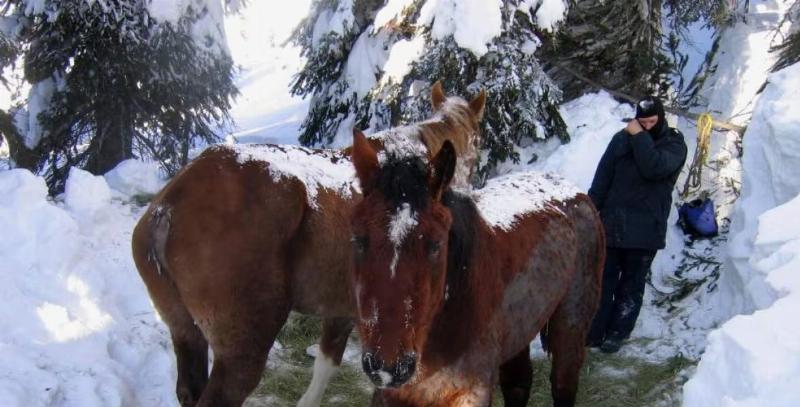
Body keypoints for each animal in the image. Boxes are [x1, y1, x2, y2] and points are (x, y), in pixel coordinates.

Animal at [130, 82, 486, 407]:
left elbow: (326, 363)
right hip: (240, 352)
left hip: (184, 330)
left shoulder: (345, 312)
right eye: (478, 141)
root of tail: (170, 204)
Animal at [348, 132, 605, 406]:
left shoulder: (472, 393)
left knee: (563, 380)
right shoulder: (390, 394)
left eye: (436, 244)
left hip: (570, 324)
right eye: (358, 239)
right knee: (518, 382)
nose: (388, 368)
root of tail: (574, 192)